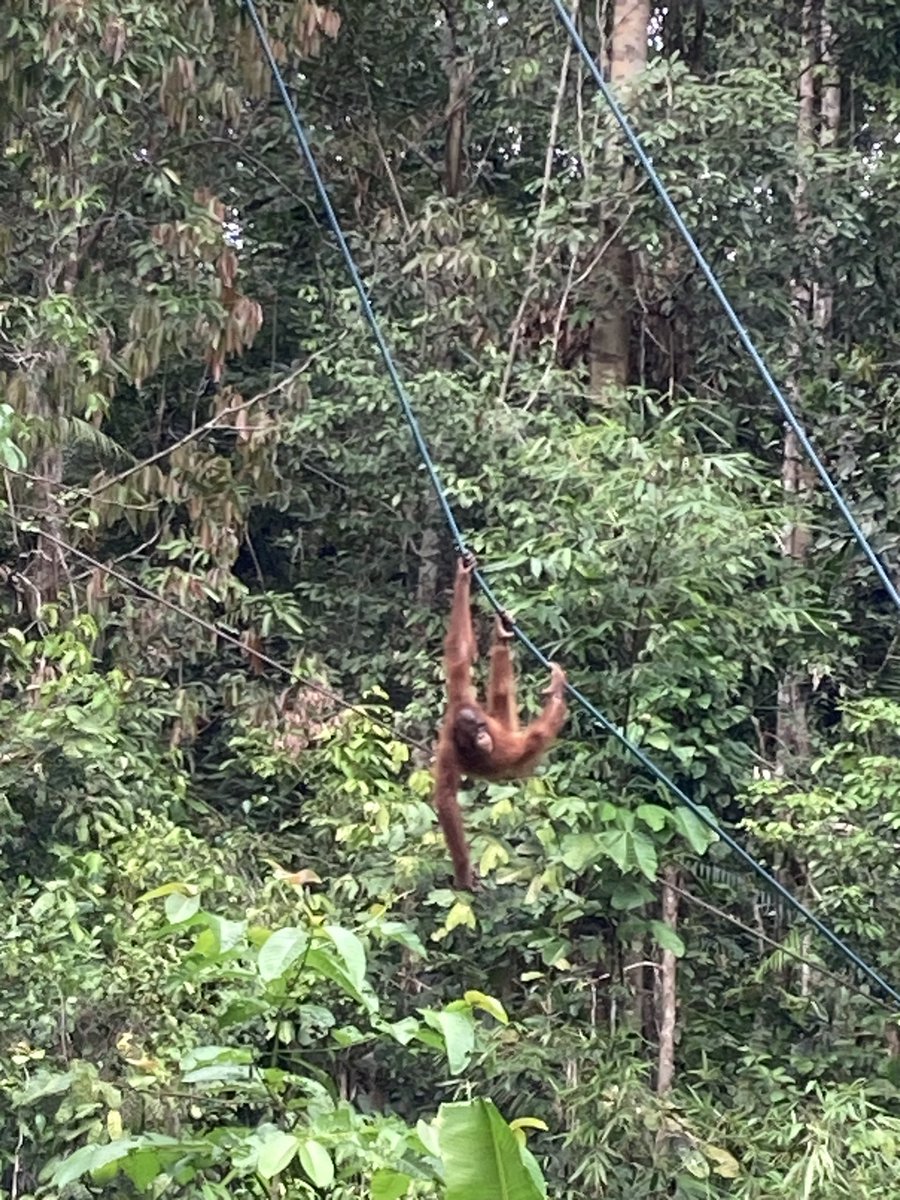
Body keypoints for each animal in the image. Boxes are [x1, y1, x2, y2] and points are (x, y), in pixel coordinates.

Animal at [433, 556, 568, 890]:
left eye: (482, 729)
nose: (484, 736)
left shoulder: (462, 700)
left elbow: (459, 655)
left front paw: (463, 576)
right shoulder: (449, 747)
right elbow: (446, 799)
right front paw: (464, 872)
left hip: (505, 723)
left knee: (525, 725)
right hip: (508, 726)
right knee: (516, 711)